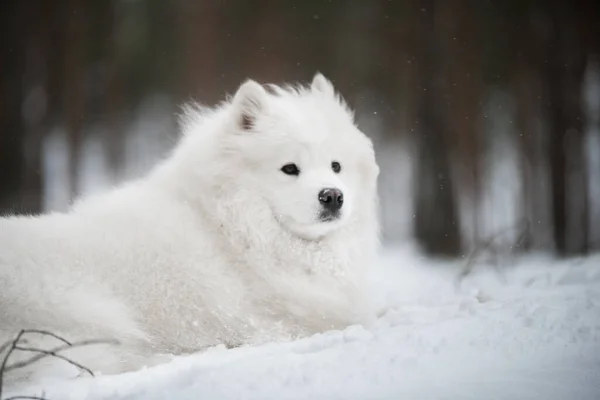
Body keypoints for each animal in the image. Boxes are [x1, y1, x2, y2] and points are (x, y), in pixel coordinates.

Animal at [0, 73, 380, 386]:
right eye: (290, 168)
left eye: (336, 166)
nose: (333, 196)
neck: (229, 228)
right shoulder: (280, 319)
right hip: (86, 309)